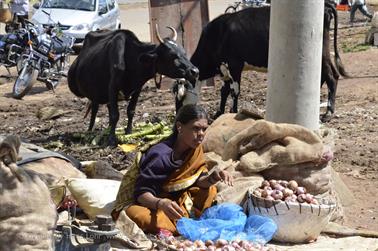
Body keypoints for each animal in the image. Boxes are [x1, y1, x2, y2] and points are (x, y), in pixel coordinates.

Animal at [68, 27, 198, 145]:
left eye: (184, 52)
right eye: (172, 55)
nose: (195, 71)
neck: (131, 59)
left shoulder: (138, 88)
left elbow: (130, 111)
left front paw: (128, 132)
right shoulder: (113, 87)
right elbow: (115, 115)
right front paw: (112, 139)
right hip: (93, 94)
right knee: (95, 110)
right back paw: (90, 132)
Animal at [189, 0, 348, 120]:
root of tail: (326, 4)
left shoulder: (235, 65)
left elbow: (234, 91)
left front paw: (232, 112)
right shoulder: (224, 69)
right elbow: (224, 91)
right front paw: (219, 113)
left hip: (321, 53)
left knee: (331, 77)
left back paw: (328, 113)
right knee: (325, 76)